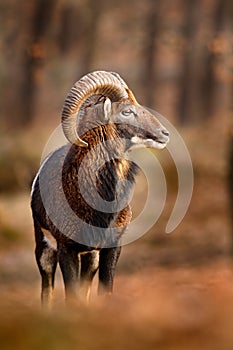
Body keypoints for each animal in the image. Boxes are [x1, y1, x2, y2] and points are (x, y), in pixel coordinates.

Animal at [31, 71, 169, 306]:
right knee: (46, 289)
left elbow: (103, 292)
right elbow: (71, 297)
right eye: (126, 111)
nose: (164, 133)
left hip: (91, 257)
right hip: (45, 249)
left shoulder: (110, 248)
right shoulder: (66, 249)